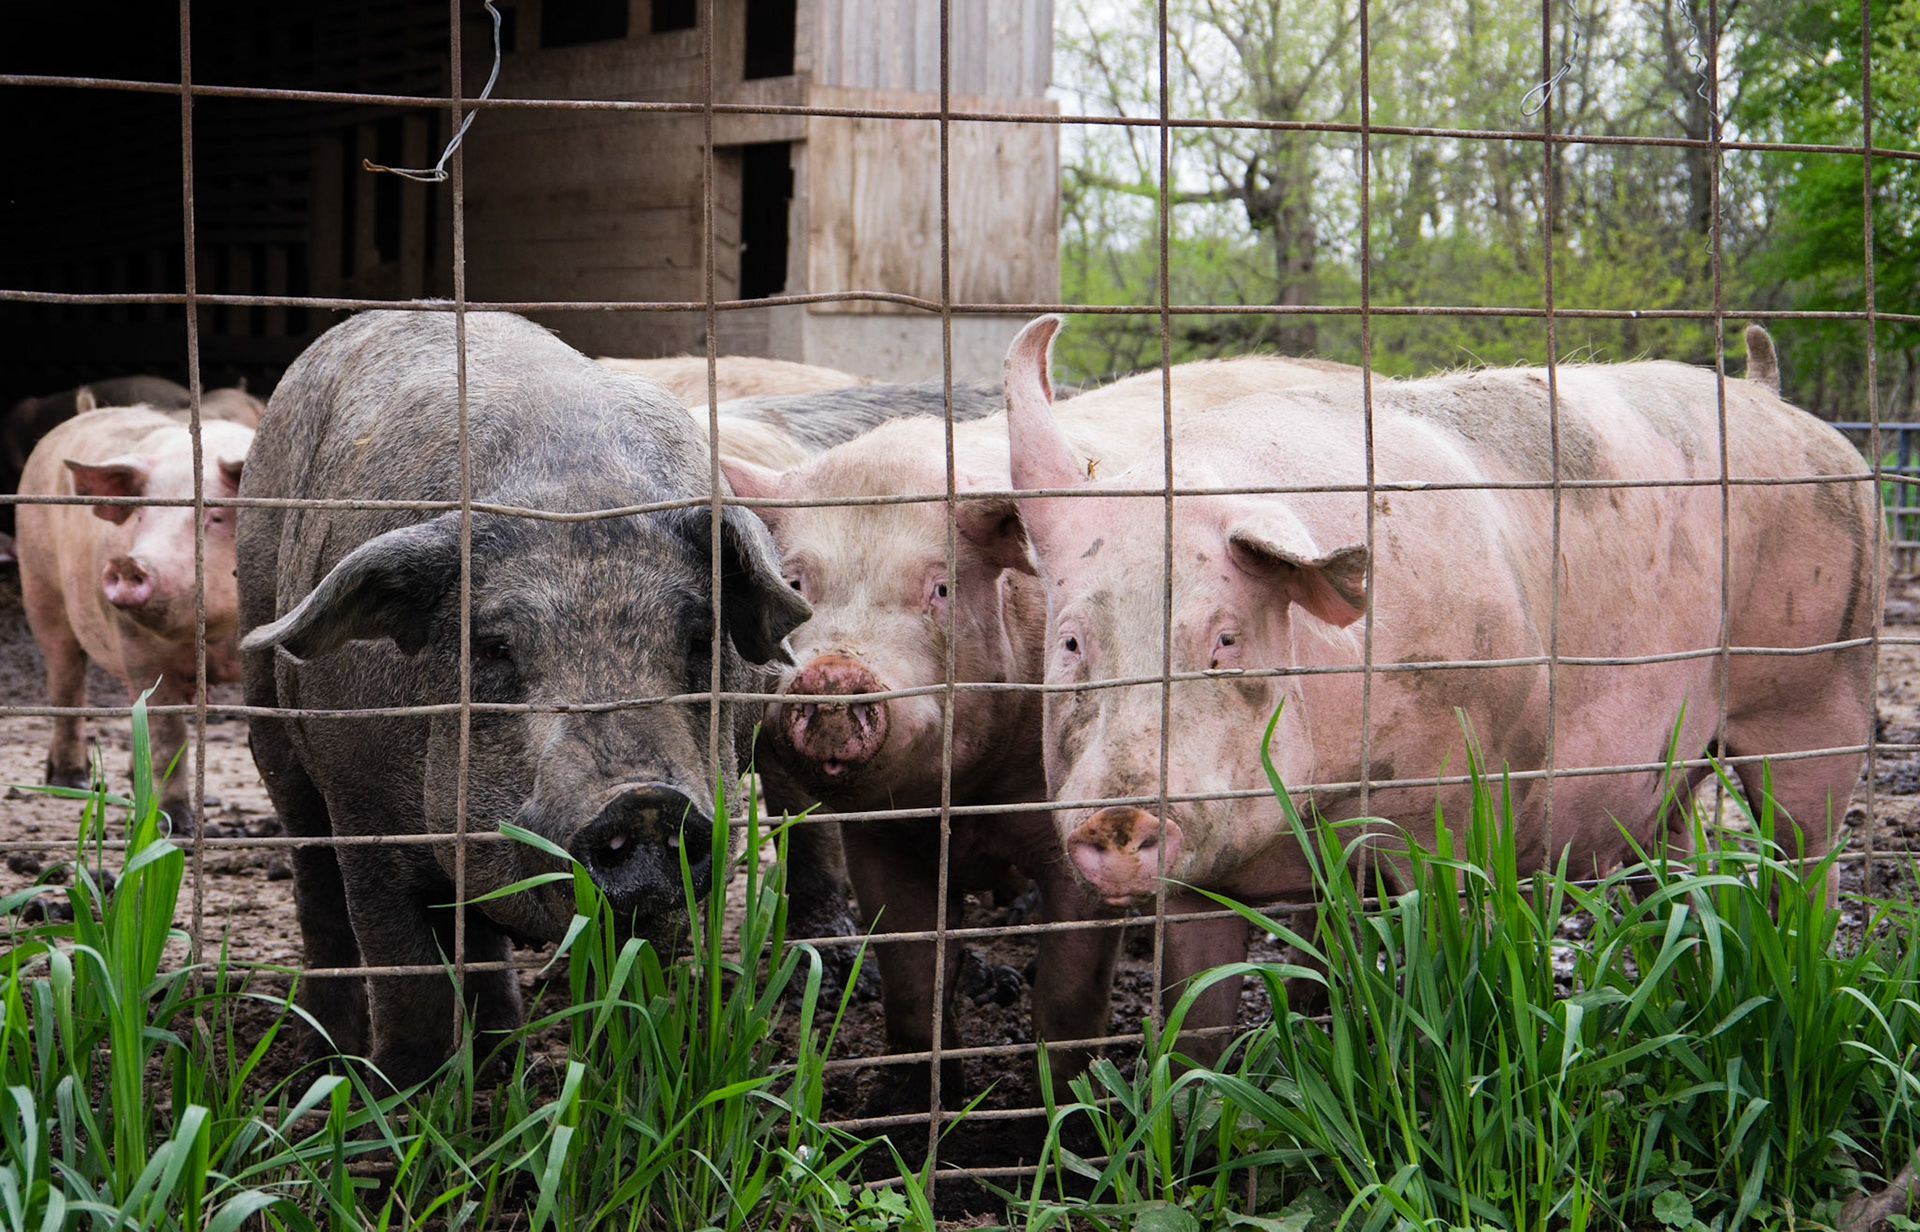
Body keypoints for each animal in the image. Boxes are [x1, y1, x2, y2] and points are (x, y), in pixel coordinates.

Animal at [16, 406, 253, 825]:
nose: (128, 563)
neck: (219, 634)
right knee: (66, 684)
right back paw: (72, 780)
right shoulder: (137, 644)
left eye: (216, 516)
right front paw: (174, 822)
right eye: (141, 516)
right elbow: (167, 733)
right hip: (39, 587)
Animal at [237, 310, 809, 1088]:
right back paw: (327, 1063)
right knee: (315, 884)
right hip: (271, 709)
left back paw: (501, 1058)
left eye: (697, 637)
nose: (643, 798)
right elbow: (405, 968)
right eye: (494, 648)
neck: (573, 490)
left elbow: (630, 986)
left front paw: (614, 1085)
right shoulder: (362, 803)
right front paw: (399, 1096)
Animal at [720, 347, 1363, 1099]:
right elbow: (913, 982)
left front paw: (1062, 1104)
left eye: (940, 586)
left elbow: (1067, 993)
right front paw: (910, 1104)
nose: (831, 674)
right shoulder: (882, 837)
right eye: (796, 585)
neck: (969, 797)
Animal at [1005, 316, 1880, 1060]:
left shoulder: (1455, 803)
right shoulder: (1203, 882)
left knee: (1812, 852)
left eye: (1224, 639)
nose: (1120, 817)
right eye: (1073, 642)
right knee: (1678, 864)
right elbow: (1199, 1026)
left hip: (1823, 683)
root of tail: (1781, 403)